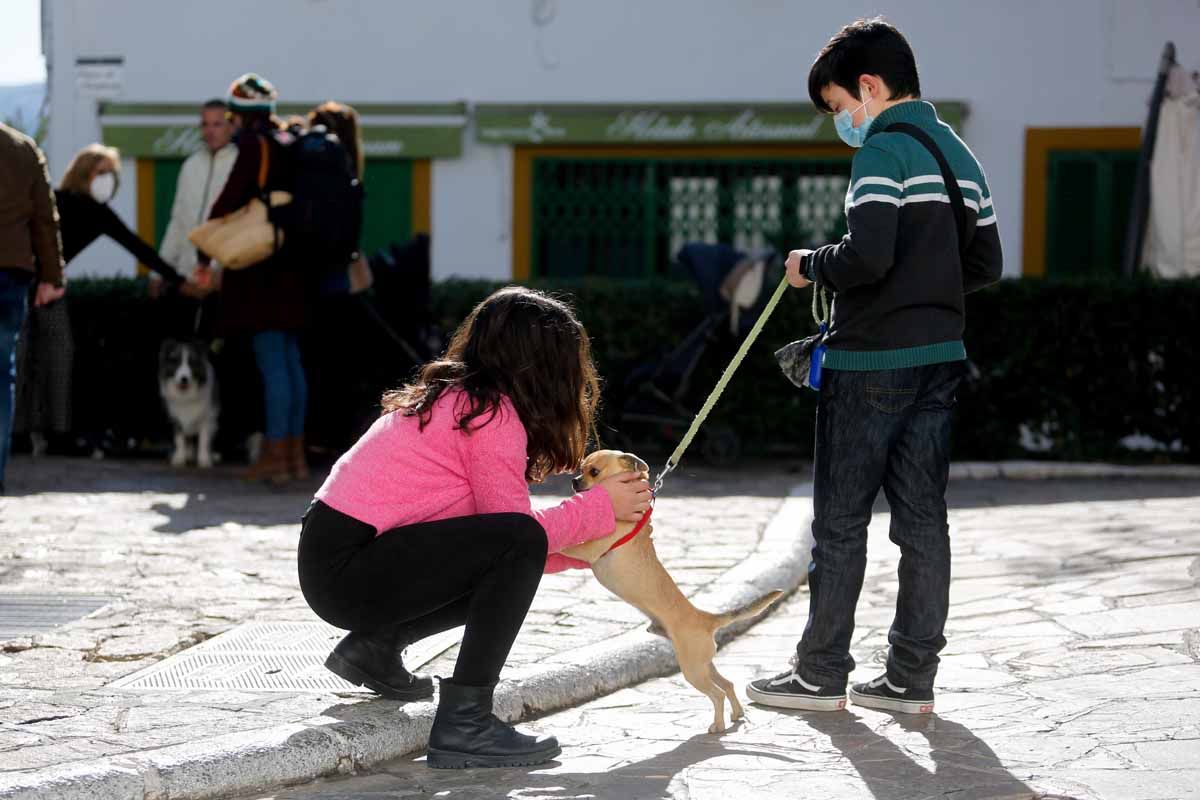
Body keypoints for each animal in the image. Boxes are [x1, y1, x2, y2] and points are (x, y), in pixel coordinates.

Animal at [158, 340, 219, 470]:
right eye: (175, 362)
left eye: (192, 363)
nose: (184, 379)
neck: (186, 397)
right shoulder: (176, 419)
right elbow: (179, 439)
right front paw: (179, 458)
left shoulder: (207, 419)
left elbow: (203, 440)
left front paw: (204, 460)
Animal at [564, 450, 787, 734]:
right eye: (580, 468)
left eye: (594, 472)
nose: (574, 481)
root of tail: (706, 618)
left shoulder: (587, 549)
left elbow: (565, 546)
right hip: (704, 665)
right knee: (727, 684)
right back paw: (736, 715)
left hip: (693, 670)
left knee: (717, 694)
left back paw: (717, 725)